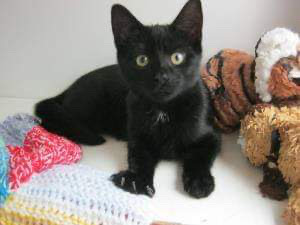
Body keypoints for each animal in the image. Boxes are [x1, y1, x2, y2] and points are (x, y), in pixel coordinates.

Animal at [36, 0, 221, 198]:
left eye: (177, 57)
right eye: (142, 60)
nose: (161, 77)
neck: (163, 111)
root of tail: (70, 87)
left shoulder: (211, 136)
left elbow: (199, 157)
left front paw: (199, 181)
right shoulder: (137, 136)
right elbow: (139, 157)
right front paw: (137, 180)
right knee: (50, 119)